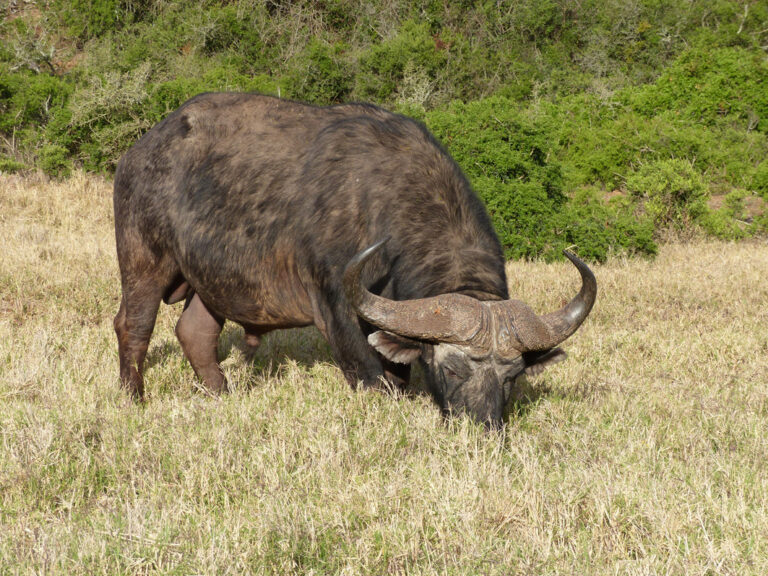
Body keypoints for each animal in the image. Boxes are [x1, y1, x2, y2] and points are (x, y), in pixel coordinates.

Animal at [114, 93, 596, 428]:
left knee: (194, 332)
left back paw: (220, 393)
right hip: (144, 262)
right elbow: (372, 379)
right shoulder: (337, 312)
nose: (482, 427)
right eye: (452, 368)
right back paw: (133, 398)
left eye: (512, 376)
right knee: (132, 326)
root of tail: (138, 151)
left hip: (211, 282)